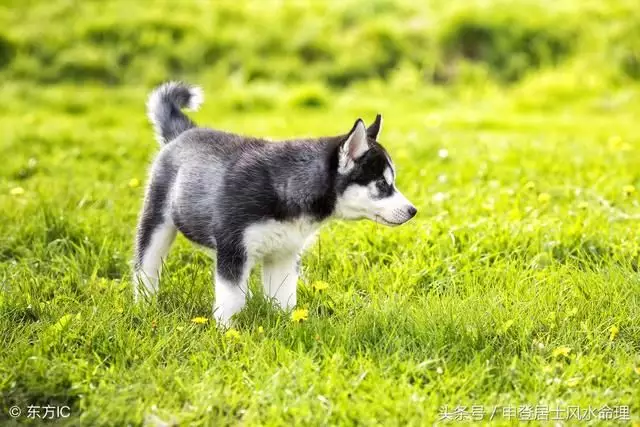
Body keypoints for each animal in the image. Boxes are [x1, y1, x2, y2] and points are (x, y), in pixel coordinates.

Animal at [132, 81, 418, 328]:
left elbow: (284, 298)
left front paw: (288, 326)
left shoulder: (283, 255)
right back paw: (144, 305)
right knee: (144, 267)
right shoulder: (233, 251)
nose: (413, 211)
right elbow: (231, 301)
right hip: (157, 221)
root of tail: (185, 132)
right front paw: (228, 334)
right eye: (382, 184)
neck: (289, 187)